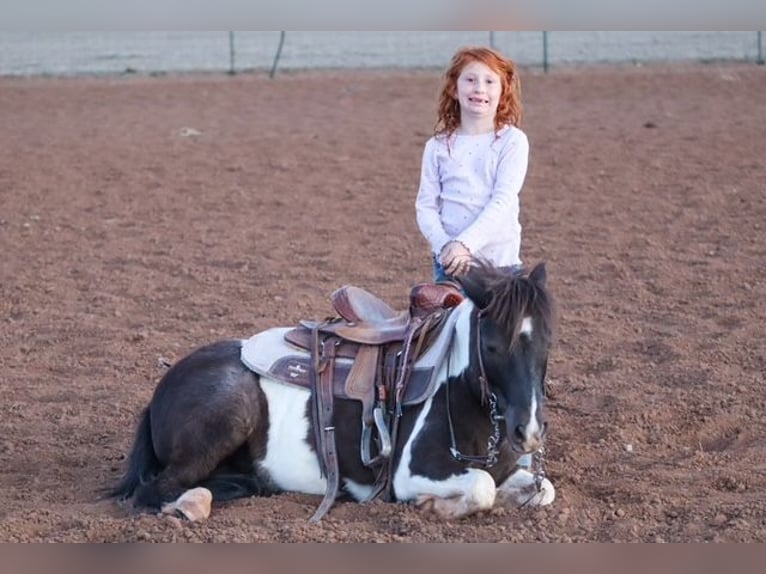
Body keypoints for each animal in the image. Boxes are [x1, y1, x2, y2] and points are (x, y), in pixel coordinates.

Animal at [110, 261, 556, 521]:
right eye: (492, 345)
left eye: (548, 341)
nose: (529, 431)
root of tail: (162, 389)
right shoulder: (411, 472)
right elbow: (481, 487)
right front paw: (434, 505)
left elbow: (540, 489)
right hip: (229, 408)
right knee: (156, 490)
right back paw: (191, 505)